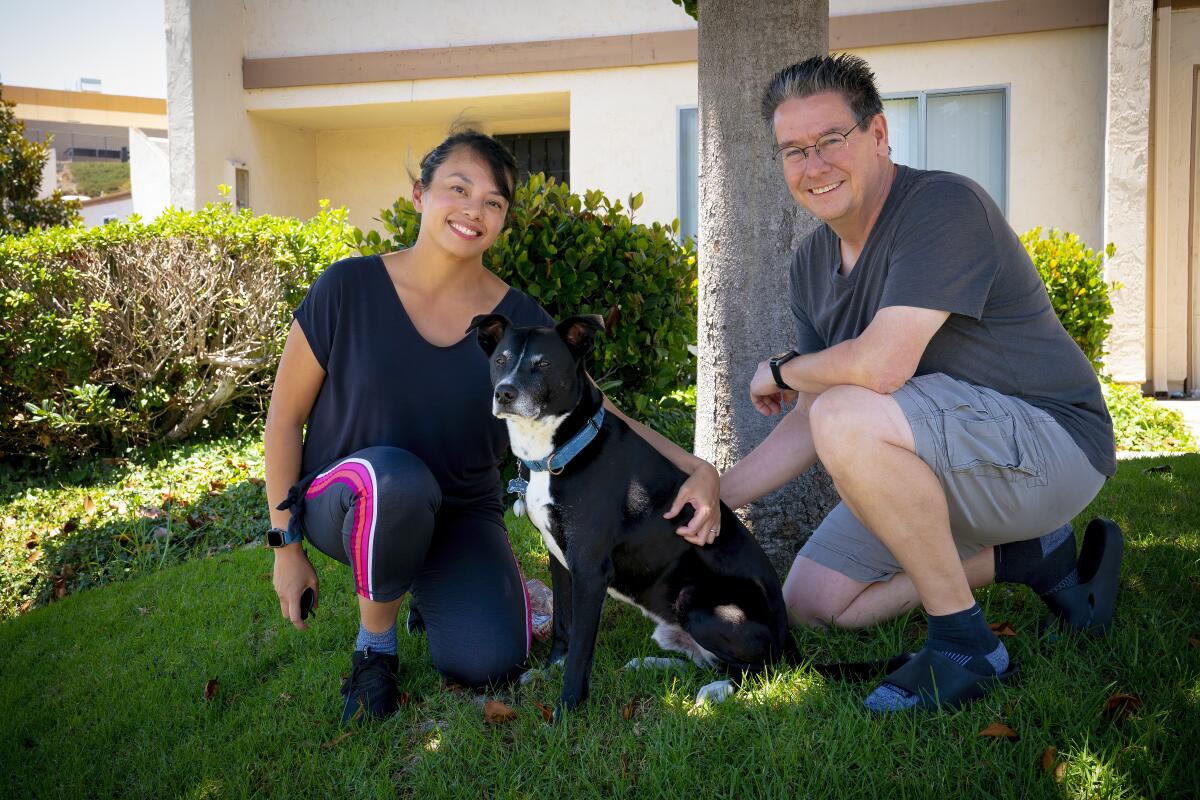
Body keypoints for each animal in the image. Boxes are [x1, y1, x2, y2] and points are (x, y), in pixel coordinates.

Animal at [470, 314, 796, 719]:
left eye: (542, 364)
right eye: (501, 360)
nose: (505, 393)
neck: (561, 449)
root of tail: (788, 637)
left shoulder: (590, 569)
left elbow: (581, 650)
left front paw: (567, 709)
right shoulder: (559, 559)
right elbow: (562, 623)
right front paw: (549, 670)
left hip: (697, 602)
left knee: (755, 668)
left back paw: (715, 690)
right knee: (704, 659)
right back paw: (651, 664)